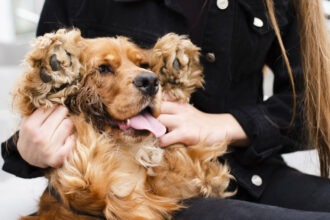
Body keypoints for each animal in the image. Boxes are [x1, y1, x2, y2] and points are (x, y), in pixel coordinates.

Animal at [13, 28, 232, 218]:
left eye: (143, 65)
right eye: (103, 68)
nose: (150, 81)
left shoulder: (177, 185)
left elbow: (188, 167)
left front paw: (172, 64)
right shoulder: (112, 192)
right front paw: (53, 72)